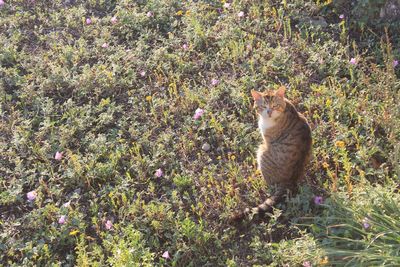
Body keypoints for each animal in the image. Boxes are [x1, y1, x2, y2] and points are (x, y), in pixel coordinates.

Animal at [231, 86, 312, 222]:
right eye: (263, 106)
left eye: (275, 105)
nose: (269, 112)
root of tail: (289, 181)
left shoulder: (266, 140)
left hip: (262, 151)